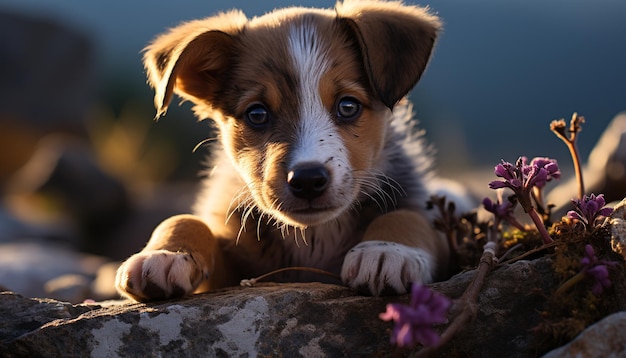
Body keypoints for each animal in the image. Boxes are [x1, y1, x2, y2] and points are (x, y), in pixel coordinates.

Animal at [116, 0, 458, 302]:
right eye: (257, 113)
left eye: (348, 106)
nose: (307, 180)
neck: (314, 237)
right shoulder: (233, 272)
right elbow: (186, 219)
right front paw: (164, 254)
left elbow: (410, 217)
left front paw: (387, 249)